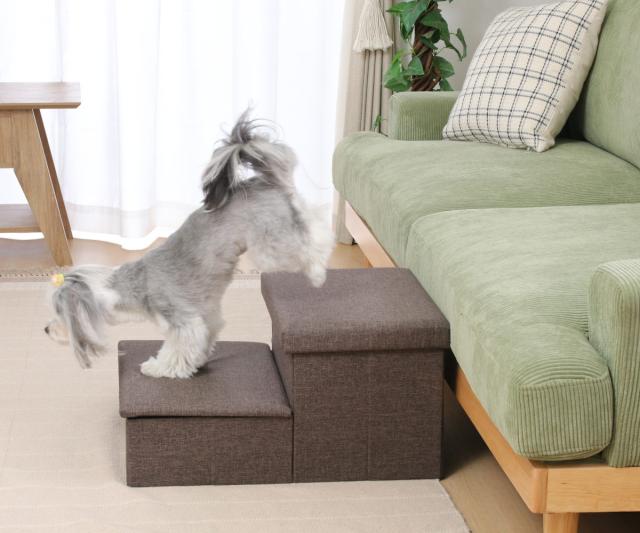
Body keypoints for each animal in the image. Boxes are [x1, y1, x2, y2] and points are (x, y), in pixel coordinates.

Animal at [44, 111, 334, 378]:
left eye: (60, 315)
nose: (46, 329)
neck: (135, 285)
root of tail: (265, 180)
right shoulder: (206, 314)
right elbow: (206, 336)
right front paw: (199, 361)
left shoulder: (183, 321)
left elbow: (175, 351)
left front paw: (157, 368)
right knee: (315, 225)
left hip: (269, 247)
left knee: (310, 246)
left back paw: (318, 273)